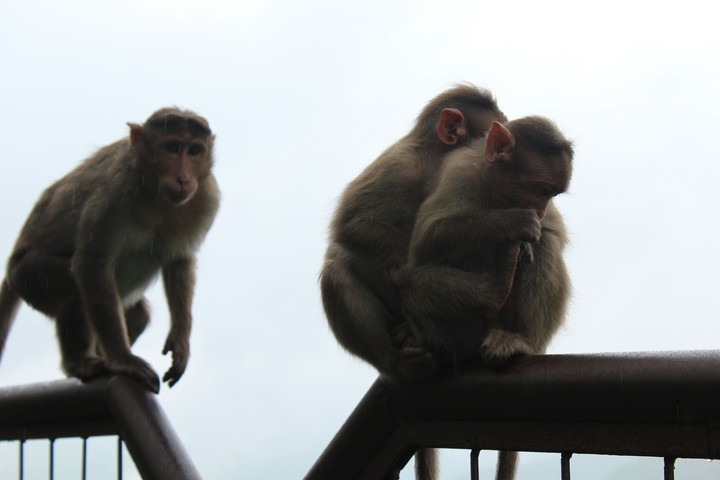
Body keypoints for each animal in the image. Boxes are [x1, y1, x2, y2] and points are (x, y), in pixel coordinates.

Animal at [0, 107, 220, 394]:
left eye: (194, 151)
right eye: (172, 148)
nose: (183, 178)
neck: (155, 193)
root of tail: (11, 268)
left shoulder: (206, 197)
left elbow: (179, 260)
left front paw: (181, 339)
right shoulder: (112, 195)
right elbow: (90, 263)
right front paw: (123, 360)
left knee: (137, 314)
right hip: (30, 278)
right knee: (74, 286)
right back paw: (79, 364)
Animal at [320, 84, 508, 381]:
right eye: (494, 134)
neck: (436, 162)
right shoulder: (400, 167)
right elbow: (353, 226)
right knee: (336, 271)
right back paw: (396, 361)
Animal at [394, 117, 573, 480]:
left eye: (552, 195)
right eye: (542, 190)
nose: (541, 210)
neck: (494, 190)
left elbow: (551, 236)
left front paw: (530, 230)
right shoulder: (461, 172)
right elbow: (429, 237)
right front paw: (515, 221)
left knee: (546, 246)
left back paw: (520, 341)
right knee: (410, 283)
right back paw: (494, 289)